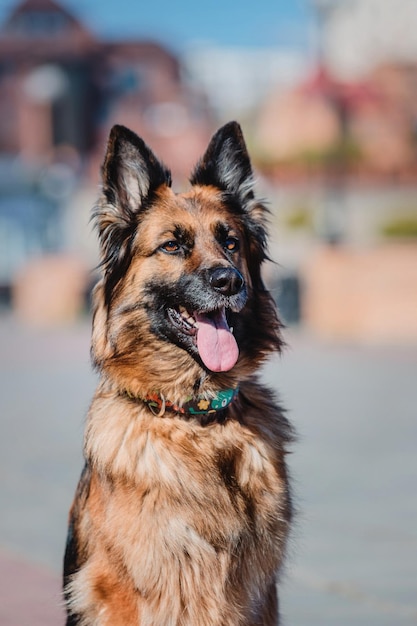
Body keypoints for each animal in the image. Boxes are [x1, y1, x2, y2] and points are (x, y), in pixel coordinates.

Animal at [64, 119, 292, 620]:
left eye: (230, 242)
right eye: (172, 245)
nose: (230, 281)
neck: (196, 418)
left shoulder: (257, 594)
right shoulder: (128, 593)